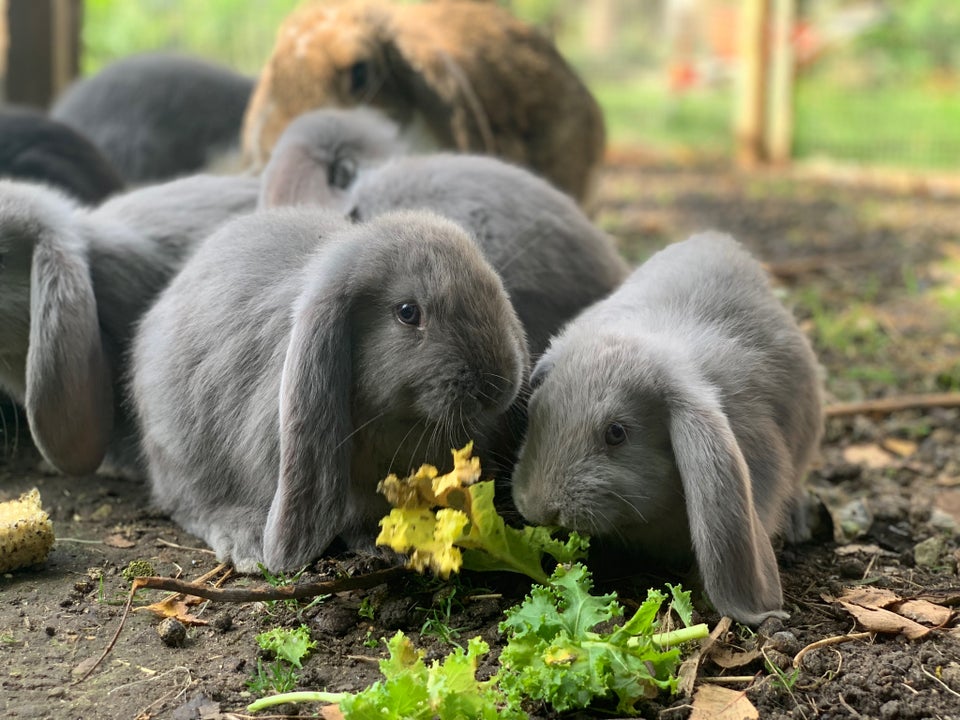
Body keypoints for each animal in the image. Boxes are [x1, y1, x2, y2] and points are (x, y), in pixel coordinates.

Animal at [129, 205, 524, 572]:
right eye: (408, 312)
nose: (497, 386)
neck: (400, 422)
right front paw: (386, 546)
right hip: (183, 455)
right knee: (191, 504)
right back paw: (246, 542)